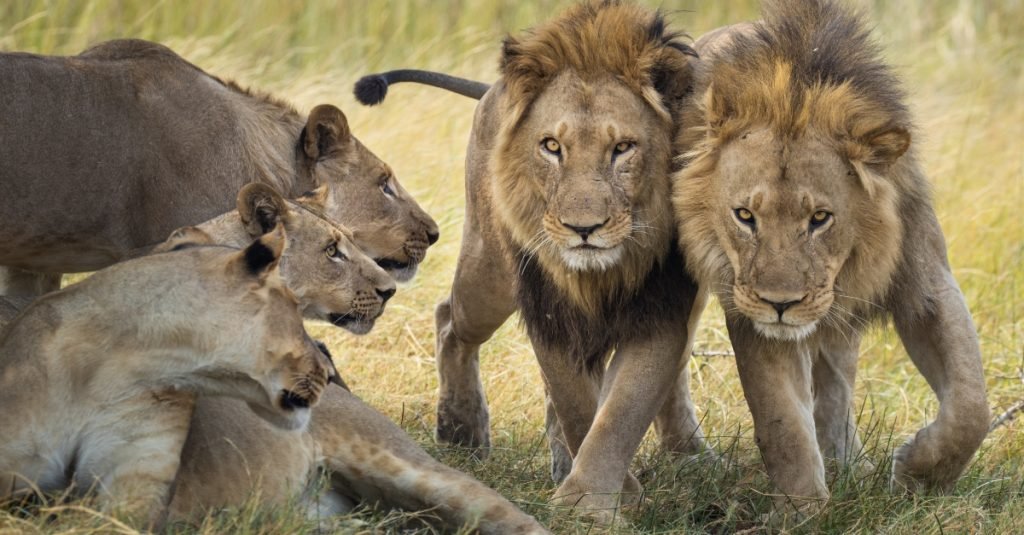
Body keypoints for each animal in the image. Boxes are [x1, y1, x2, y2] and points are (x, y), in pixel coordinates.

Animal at [356, 1, 706, 520]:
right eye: (552, 147)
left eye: (623, 148)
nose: (584, 229)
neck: (601, 275)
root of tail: (492, 89)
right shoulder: (549, 313)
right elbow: (578, 405)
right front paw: (595, 501)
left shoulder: (660, 314)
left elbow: (619, 411)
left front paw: (592, 498)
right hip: (488, 274)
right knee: (449, 319)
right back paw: (461, 431)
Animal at [672, 0, 989, 517]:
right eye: (745, 216)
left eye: (820, 218)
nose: (782, 304)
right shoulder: (749, 308)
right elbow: (782, 421)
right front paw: (800, 512)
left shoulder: (926, 285)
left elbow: (970, 406)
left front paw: (918, 476)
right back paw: (691, 458)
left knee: (837, 381)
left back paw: (847, 462)